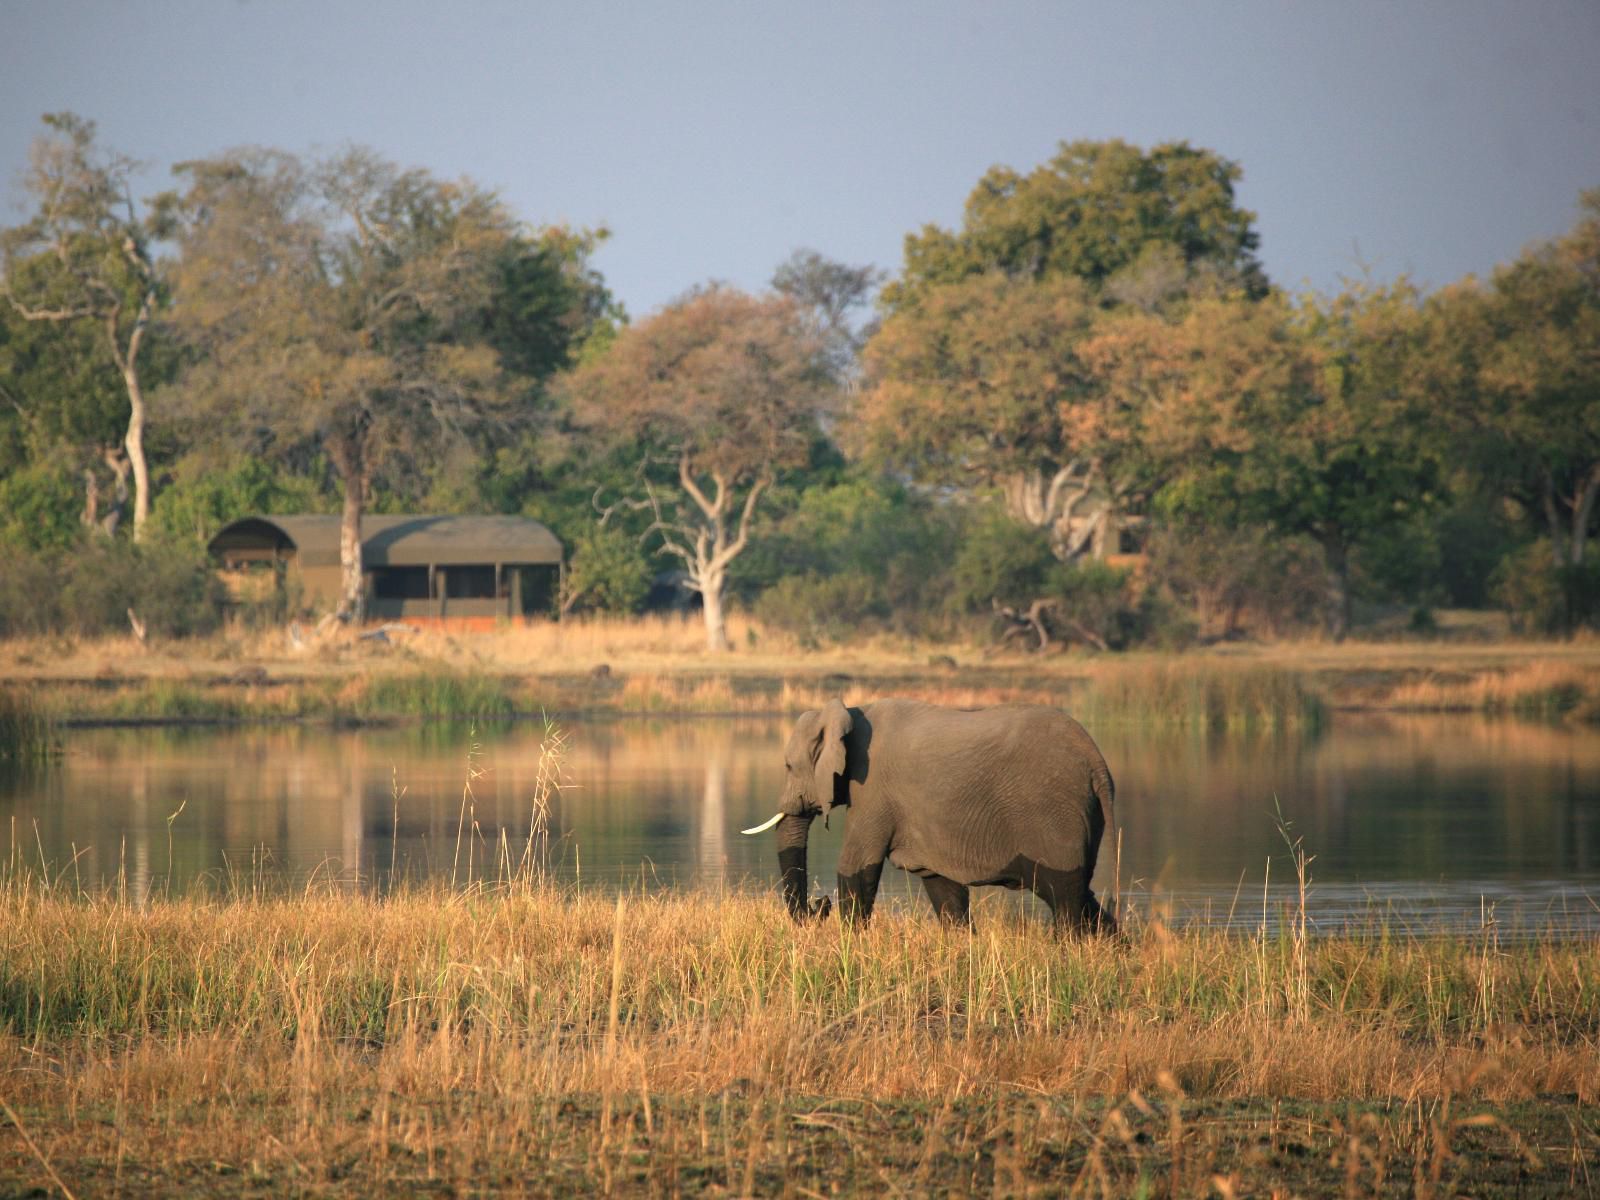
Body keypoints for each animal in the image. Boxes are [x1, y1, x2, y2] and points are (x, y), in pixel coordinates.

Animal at [742, 694, 1120, 928]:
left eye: (788, 766)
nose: (821, 904)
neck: (852, 712)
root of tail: (1098, 764)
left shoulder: (874, 790)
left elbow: (856, 867)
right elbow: (940, 884)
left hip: (1054, 814)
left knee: (1065, 898)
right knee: (1082, 897)